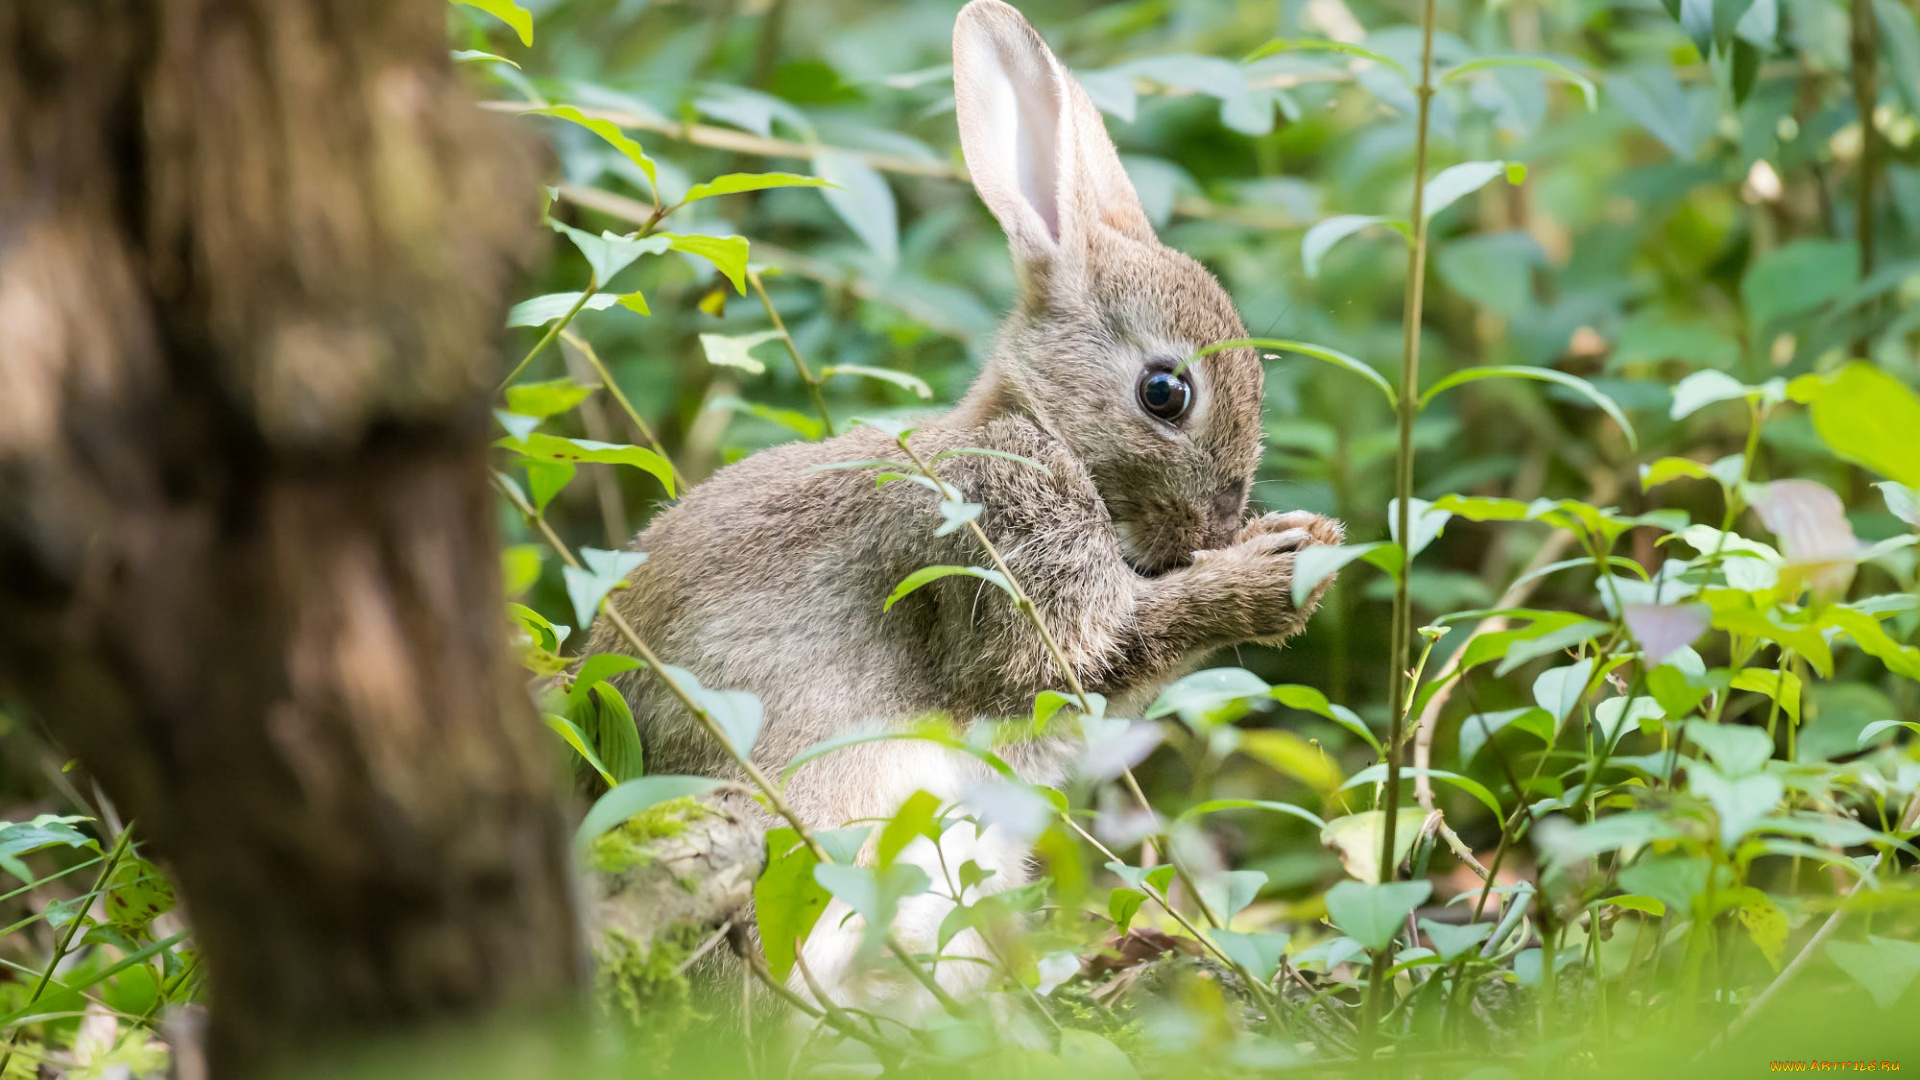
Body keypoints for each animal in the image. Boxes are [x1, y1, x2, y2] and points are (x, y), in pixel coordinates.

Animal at [583, 0, 1351, 1006]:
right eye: (1165, 393)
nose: (1222, 524)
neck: (1037, 429)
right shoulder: (1002, 562)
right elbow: (1099, 650)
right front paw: (1279, 567)